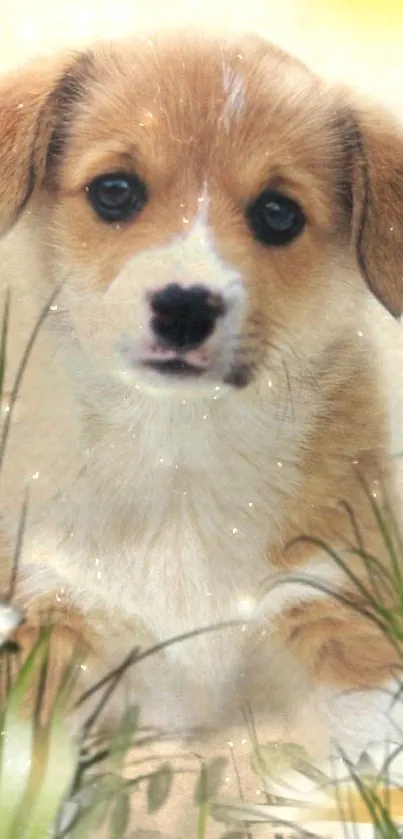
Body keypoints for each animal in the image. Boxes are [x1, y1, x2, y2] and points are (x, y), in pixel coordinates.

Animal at [0, 29, 403, 756]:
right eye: (114, 191)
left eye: (277, 213)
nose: (185, 308)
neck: (179, 447)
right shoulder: (54, 608)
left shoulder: (334, 608)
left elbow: (360, 752)